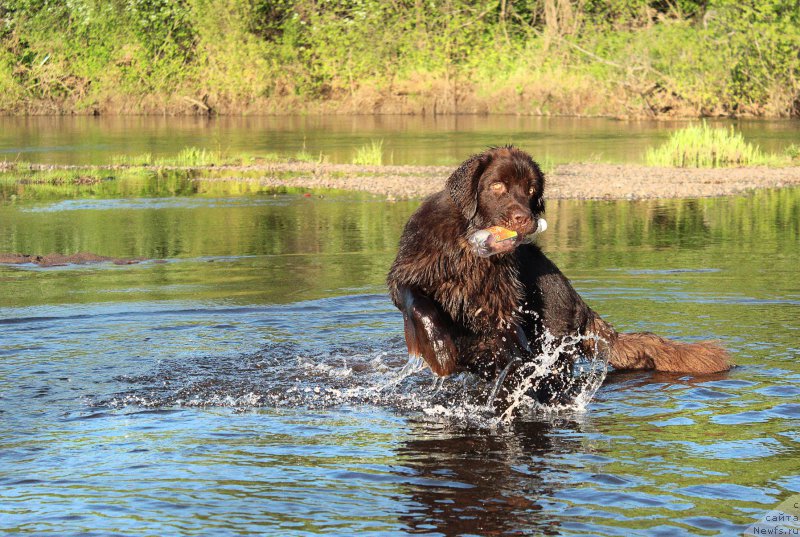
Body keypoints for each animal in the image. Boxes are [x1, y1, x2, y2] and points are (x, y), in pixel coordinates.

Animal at [388, 148, 732, 402]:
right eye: (497, 185)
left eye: (530, 190)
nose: (524, 218)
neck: (470, 247)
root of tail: (580, 303)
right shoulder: (409, 271)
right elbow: (419, 304)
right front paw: (440, 350)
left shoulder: (502, 310)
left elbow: (510, 346)